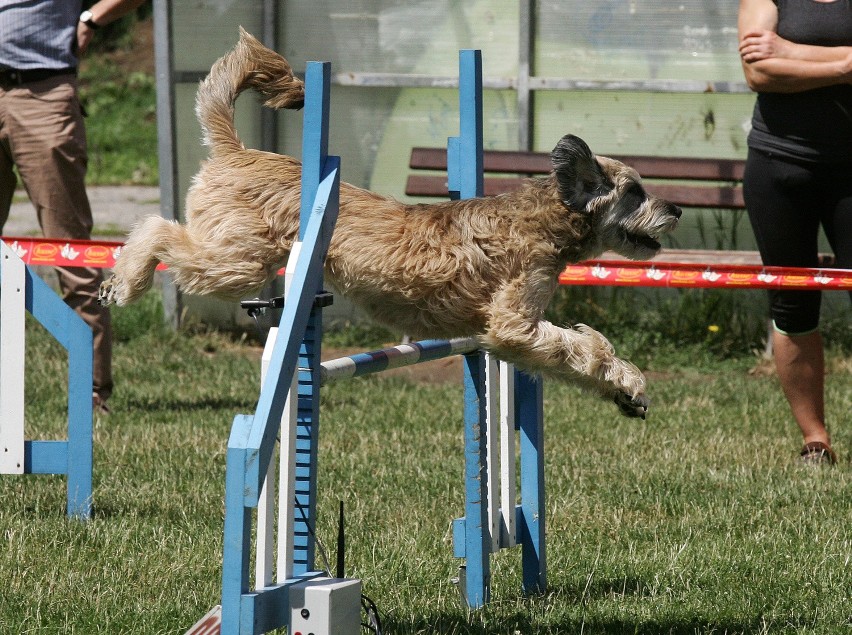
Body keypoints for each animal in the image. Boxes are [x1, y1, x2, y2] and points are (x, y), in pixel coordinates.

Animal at [98, 28, 680, 418]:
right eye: (635, 191)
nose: (676, 209)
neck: (546, 221)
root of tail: (237, 151)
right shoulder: (512, 324)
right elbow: (582, 347)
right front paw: (629, 382)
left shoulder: (513, 331)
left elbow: (572, 354)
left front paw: (622, 392)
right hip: (236, 260)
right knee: (156, 230)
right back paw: (122, 283)